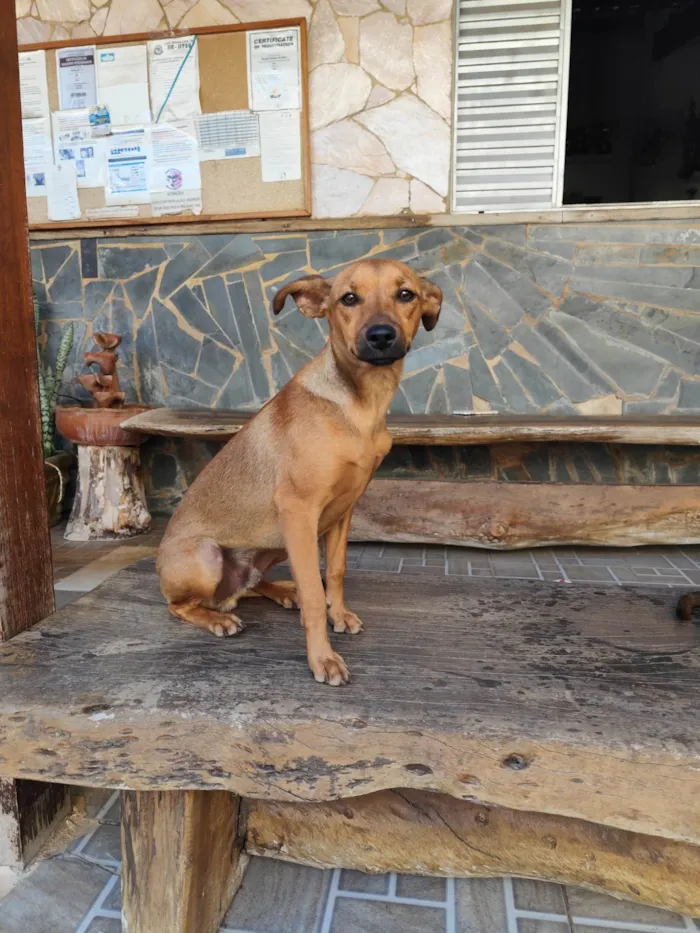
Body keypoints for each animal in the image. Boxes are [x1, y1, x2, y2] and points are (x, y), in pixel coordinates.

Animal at [159, 258, 442, 680]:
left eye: (405, 294)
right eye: (349, 298)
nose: (380, 336)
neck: (360, 405)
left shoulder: (342, 511)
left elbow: (335, 572)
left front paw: (339, 614)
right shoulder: (300, 511)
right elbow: (313, 591)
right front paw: (323, 657)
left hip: (274, 546)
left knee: (249, 583)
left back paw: (279, 590)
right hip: (209, 556)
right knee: (181, 605)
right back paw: (217, 619)